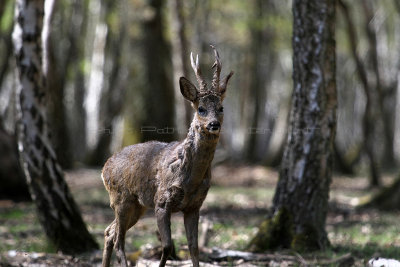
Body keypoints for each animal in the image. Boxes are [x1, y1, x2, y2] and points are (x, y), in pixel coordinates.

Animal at [101, 46, 233, 267]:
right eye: (201, 108)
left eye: (221, 108)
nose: (214, 124)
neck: (190, 179)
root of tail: (104, 168)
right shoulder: (161, 201)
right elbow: (167, 246)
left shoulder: (194, 206)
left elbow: (194, 248)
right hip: (121, 198)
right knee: (118, 240)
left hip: (137, 205)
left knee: (109, 232)